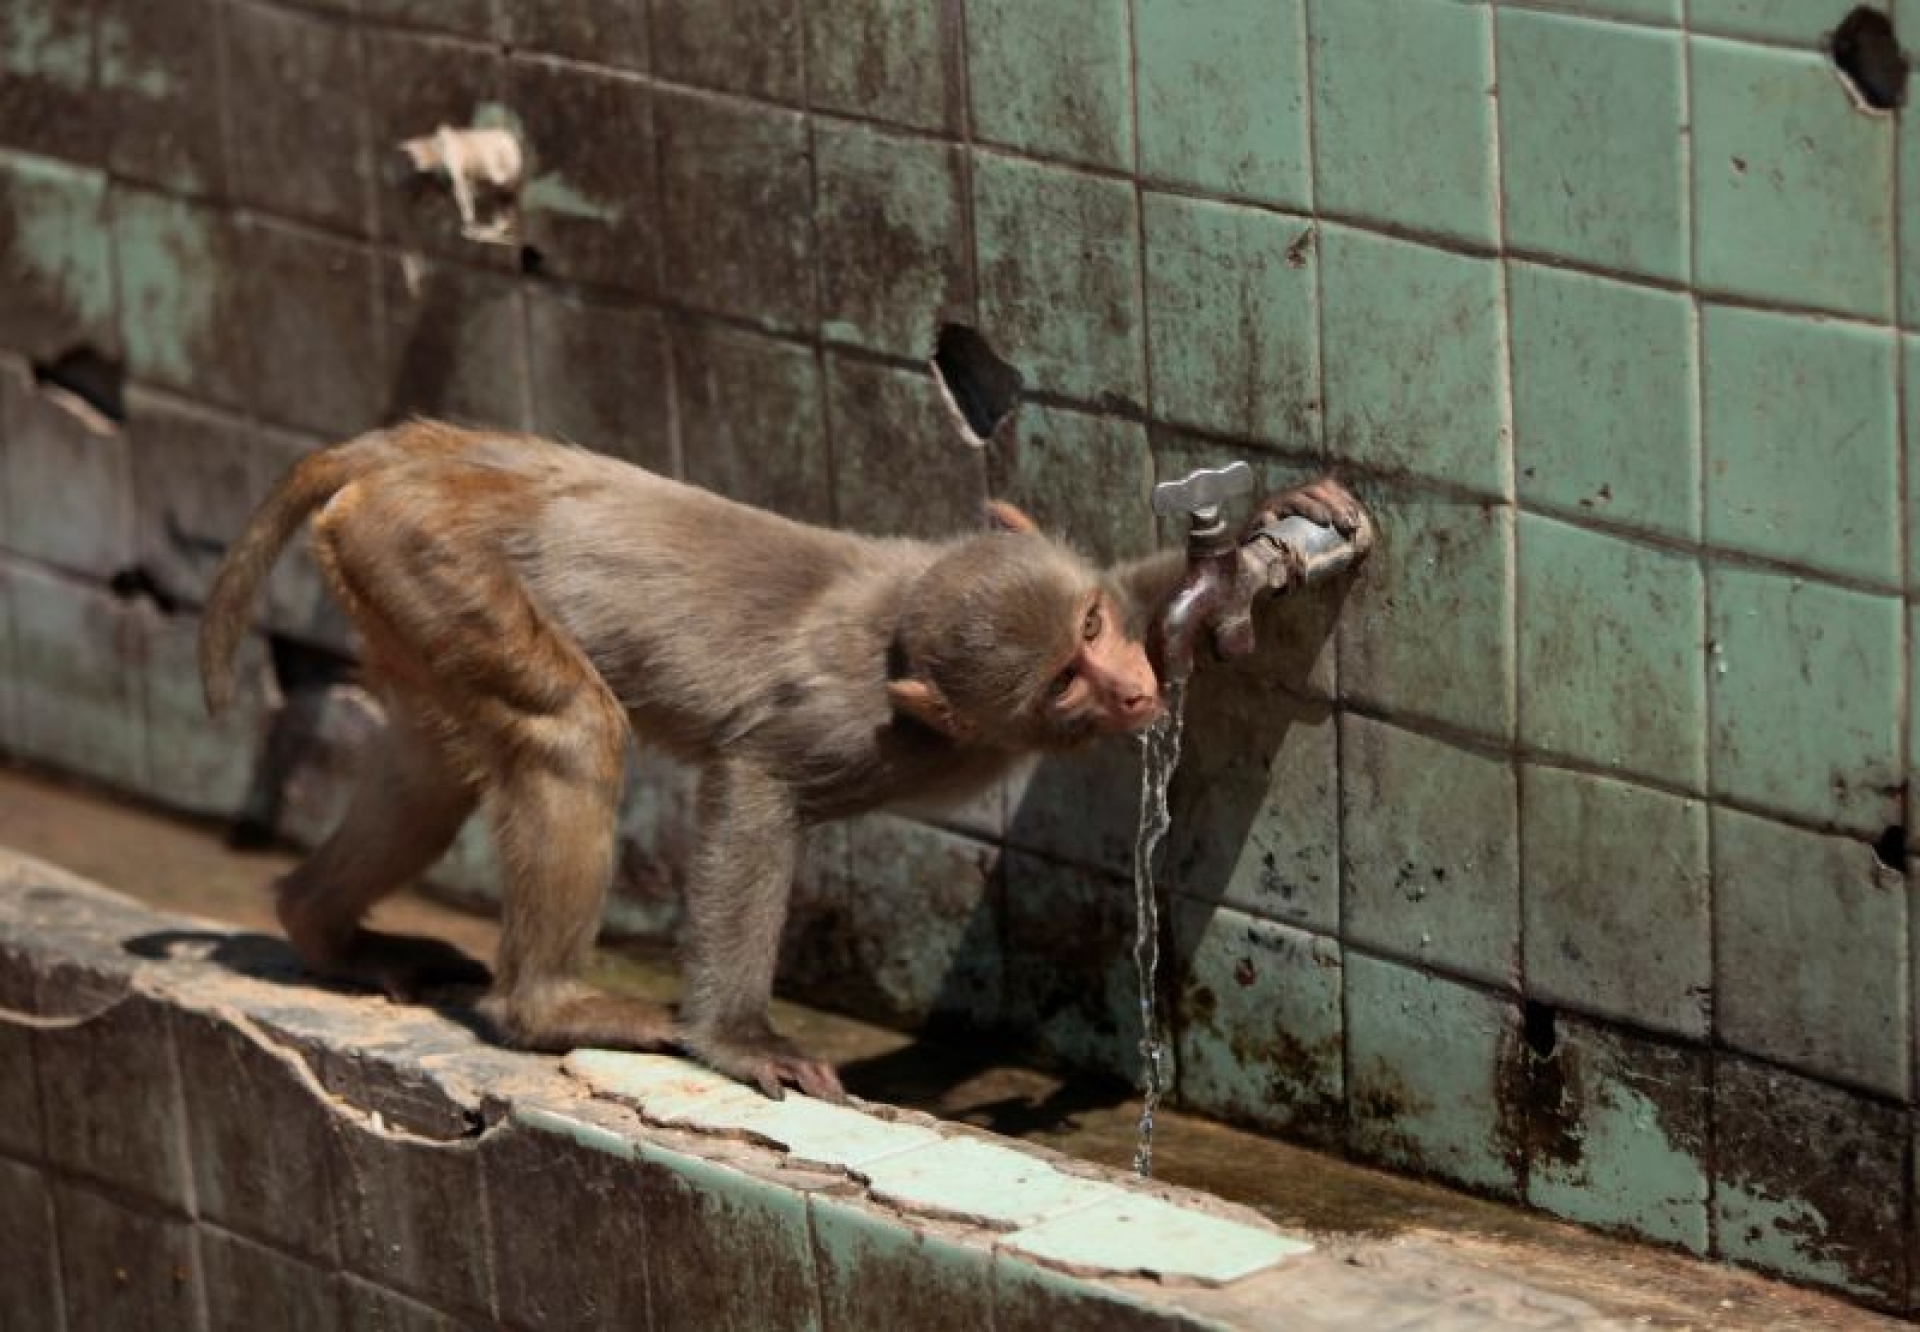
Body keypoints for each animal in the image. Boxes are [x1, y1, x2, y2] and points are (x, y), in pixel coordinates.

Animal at [199, 420, 1361, 1101]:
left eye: (1089, 633)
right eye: (1061, 684)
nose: (1126, 691)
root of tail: (400, 457)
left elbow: (1149, 595)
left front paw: (1273, 529)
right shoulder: (852, 731)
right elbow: (752, 788)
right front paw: (738, 1037)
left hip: (394, 576)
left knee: (433, 765)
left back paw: (320, 923)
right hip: (433, 557)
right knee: (570, 731)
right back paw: (549, 1008)